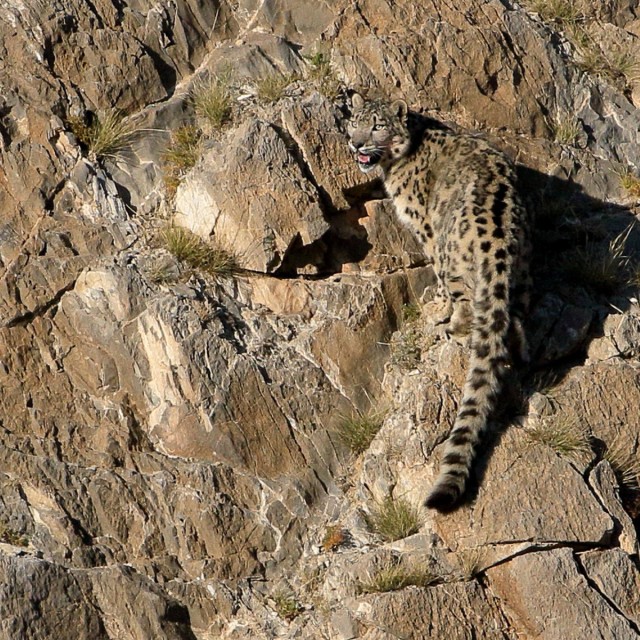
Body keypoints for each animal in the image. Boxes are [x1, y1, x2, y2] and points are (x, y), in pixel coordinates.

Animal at [346, 92, 532, 511]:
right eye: (354, 121)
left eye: (378, 125)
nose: (357, 143)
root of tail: (497, 242)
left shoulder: (423, 227)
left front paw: (437, 309)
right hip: (521, 271)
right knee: (513, 319)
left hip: (450, 256)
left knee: (466, 307)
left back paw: (450, 326)